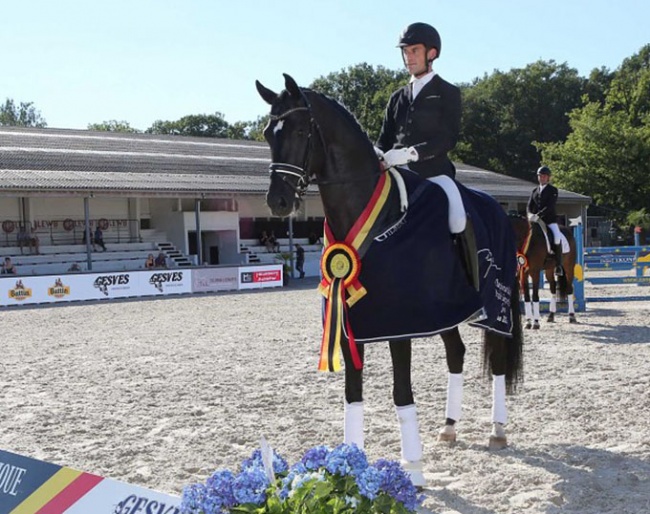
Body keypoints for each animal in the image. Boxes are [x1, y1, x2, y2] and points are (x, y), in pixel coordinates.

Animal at [254, 74, 520, 486]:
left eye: (299, 130)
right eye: (268, 133)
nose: (277, 202)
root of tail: (501, 210)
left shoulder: (399, 326)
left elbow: (401, 394)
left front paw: (413, 469)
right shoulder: (350, 324)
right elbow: (353, 394)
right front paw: (350, 460)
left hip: (496, 307)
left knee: (500, 361)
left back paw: (497, 430)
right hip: (447, 312)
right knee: (456, 354)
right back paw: (449, 427)